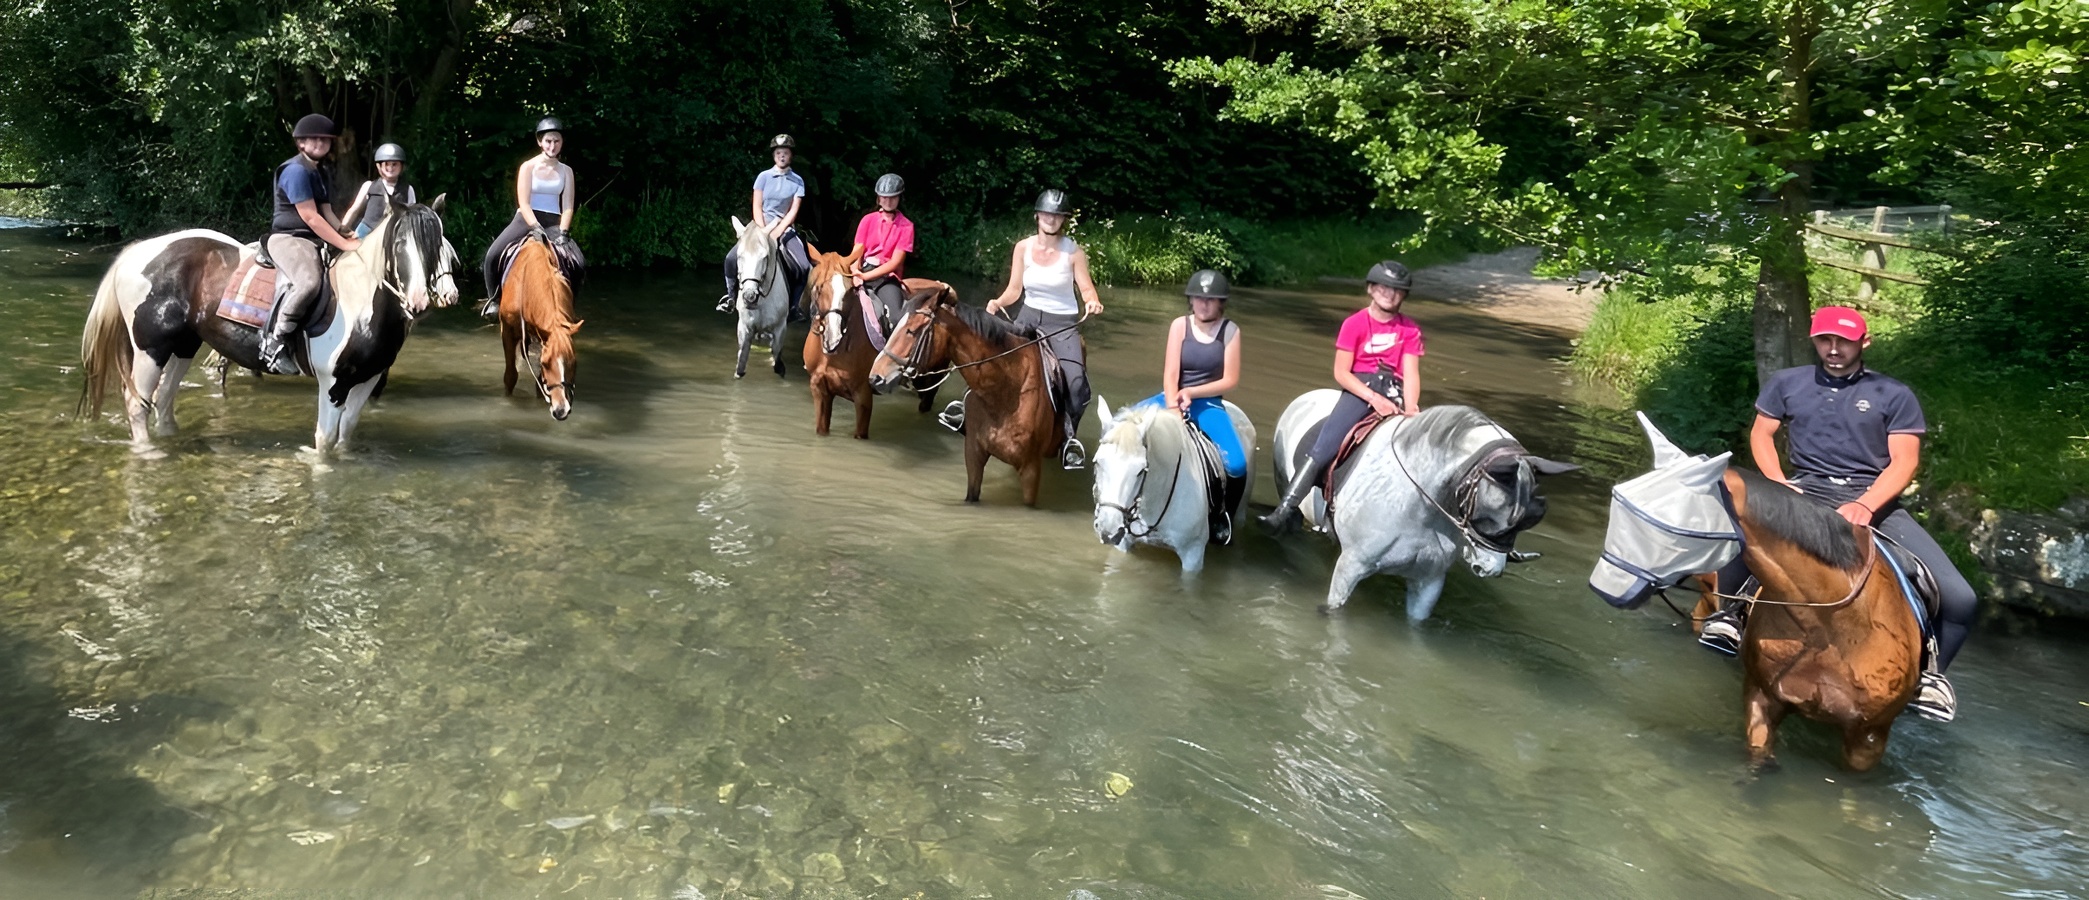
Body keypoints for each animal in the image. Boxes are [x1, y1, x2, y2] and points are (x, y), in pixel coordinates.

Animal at [79, 197, 459, 455]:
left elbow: (345, 437)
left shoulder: (367, 380)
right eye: (400, 244)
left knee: (164, 399)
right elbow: (324, 442)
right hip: (151, 349)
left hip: (183, 346)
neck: (360, 302)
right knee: (137, 404)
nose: (421, 301)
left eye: (441, 244)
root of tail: (136, 252)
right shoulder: (332, 384)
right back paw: (150, 454)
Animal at [497, 238, 583, 420]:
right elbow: (510, 376)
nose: (561, 410)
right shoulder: (507, 331)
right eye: (545, 363)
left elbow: (539, 385)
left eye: (574, 362)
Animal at [728, 216, 792, 379]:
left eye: (764, 257)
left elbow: (778, 365)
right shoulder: (744, 328)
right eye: (739, 256)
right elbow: (740, 367)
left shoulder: (780, 328)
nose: (750, 297)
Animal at [1271, 394, 1576, 618]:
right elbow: (1334, 611)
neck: (1419, 505)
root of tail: (1305, 398)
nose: (1491, 569)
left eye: (1533, 516)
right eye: (1491, 514)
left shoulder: (1429, 582)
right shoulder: (1351, 566)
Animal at [1590, 413, 1924, 772]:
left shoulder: (1870, 737)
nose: (1604, 587)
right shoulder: (1762, 698)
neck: (1829, 628)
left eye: (1672, 529)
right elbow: (1759, 760)